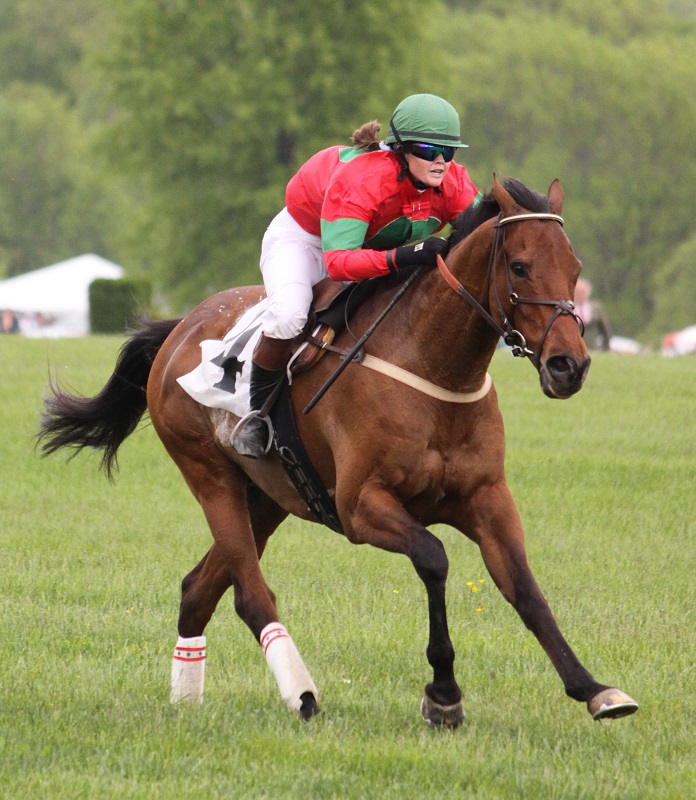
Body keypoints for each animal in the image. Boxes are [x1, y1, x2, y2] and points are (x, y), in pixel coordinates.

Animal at [38, 176, 638, 726]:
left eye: (575, 267)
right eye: (518, 266)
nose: (569, 366)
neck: (432, 365)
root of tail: (179, 328)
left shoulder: (487, 498)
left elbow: (526, 589)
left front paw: (593, 689)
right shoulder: (361, 506)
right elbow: (434, 557)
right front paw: (443, 694)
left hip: (267, 498)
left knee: (198, 589)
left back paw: (187, 696)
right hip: (210, 476)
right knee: (251, 595)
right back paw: (301, 694)